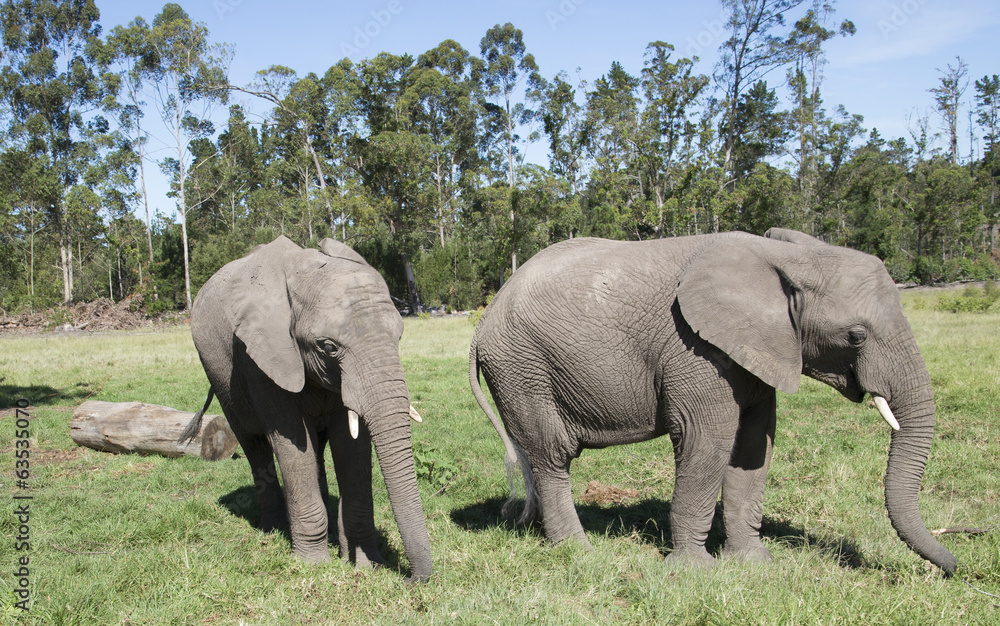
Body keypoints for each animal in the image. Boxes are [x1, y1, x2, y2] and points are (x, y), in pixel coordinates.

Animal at [184, 235, 431, 580]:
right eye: (328, 347)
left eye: (399, 337)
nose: (410, 579)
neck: (303, 270)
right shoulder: (258, 359)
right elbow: (292, 442)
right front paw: (313, 566)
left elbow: (350, 443)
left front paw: (365, 565)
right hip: (219, 378)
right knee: (254, 445)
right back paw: (271, 529)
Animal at [469, 228, 957, 574]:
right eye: (855, 335)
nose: (956, 566)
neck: (784, 258)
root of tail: (482, 323)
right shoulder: (695, 348)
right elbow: (707, 441)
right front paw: (694, 572)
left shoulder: (757, 351)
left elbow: (754, 445)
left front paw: (754, 565)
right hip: (522, 366)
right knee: (552, 455)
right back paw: (582, 554)